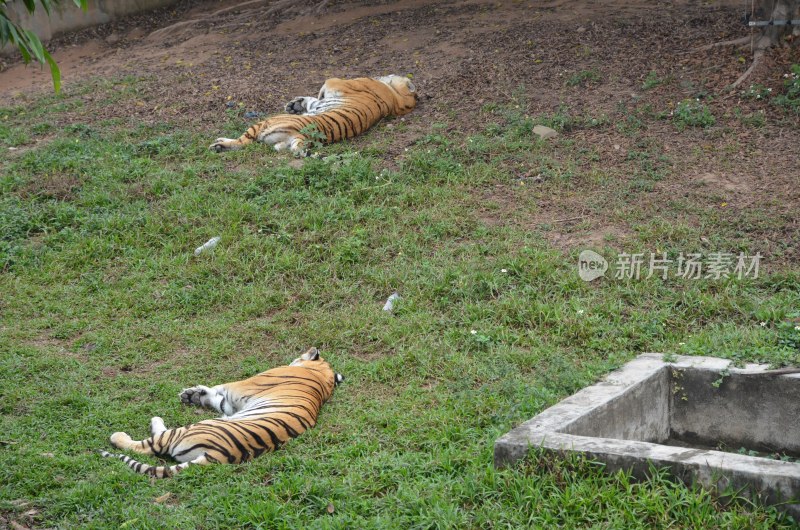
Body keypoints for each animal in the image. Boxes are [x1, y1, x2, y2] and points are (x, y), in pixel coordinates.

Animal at [99, 346, 340, 474]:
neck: (324, 381)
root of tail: (218, 456)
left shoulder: (238, 386)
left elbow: (218, 388)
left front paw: (194, 393)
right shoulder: (231, 403)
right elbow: (217, 398)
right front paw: (192, 395)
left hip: (191, 429)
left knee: (150, 445)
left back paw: (130, 431)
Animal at [206, 73, 418, 155]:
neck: (396, 99)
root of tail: (302, 136)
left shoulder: (335, 82)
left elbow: (321, 89)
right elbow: (312, 99)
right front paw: (294, 105)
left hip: (265, 123)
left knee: (243, 142)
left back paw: (218, 144)